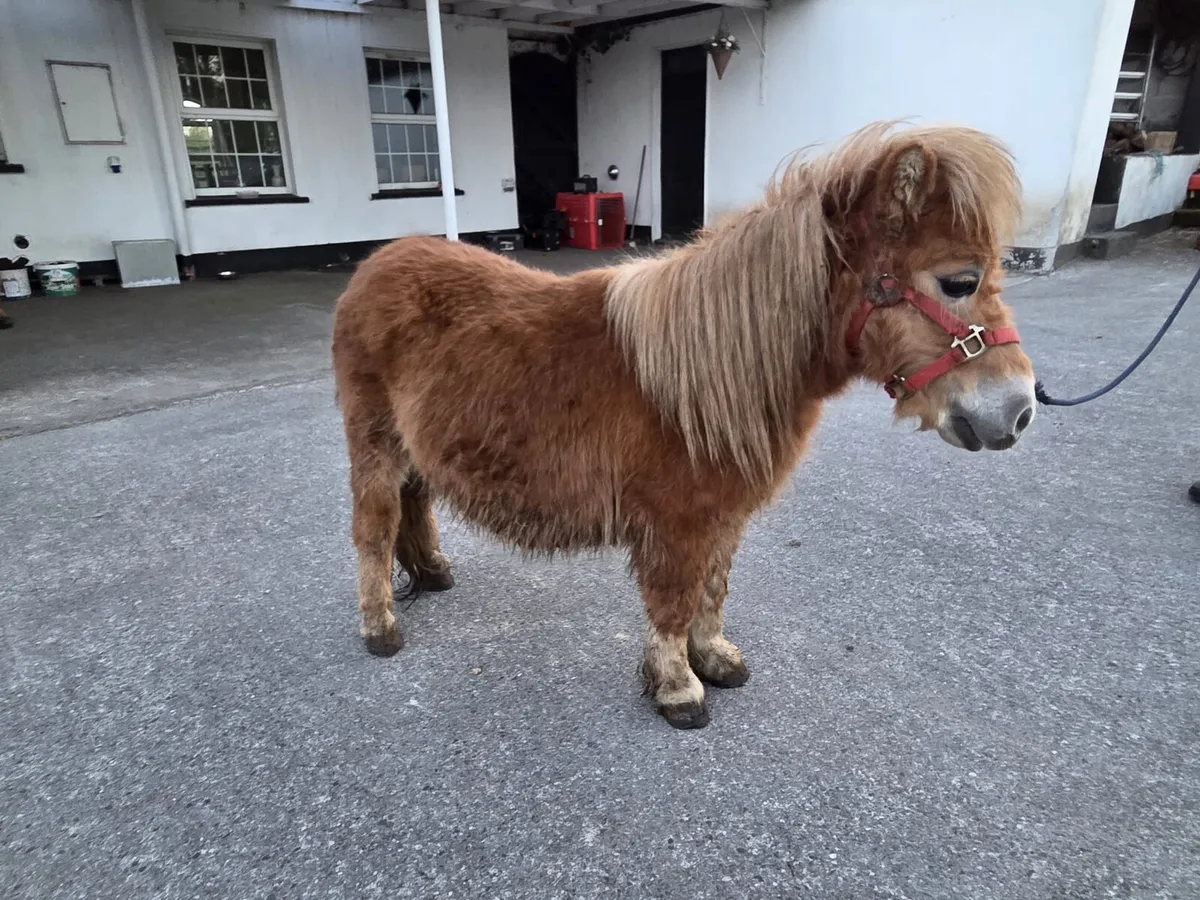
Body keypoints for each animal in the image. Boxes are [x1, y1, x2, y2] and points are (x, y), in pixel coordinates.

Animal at [330, 121, 1036, 730]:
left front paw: (715, 659)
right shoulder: (675, 523)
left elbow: (712, 590)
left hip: (416, 447)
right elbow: (673, 600)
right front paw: (678, 689)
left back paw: (432, 573)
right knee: (374, 525)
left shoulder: (722, 517)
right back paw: (380, 626)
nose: (1021, 407)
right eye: (959, 281)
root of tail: (376, 265)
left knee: (414, 504)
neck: (714, 369)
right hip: (373, 442)